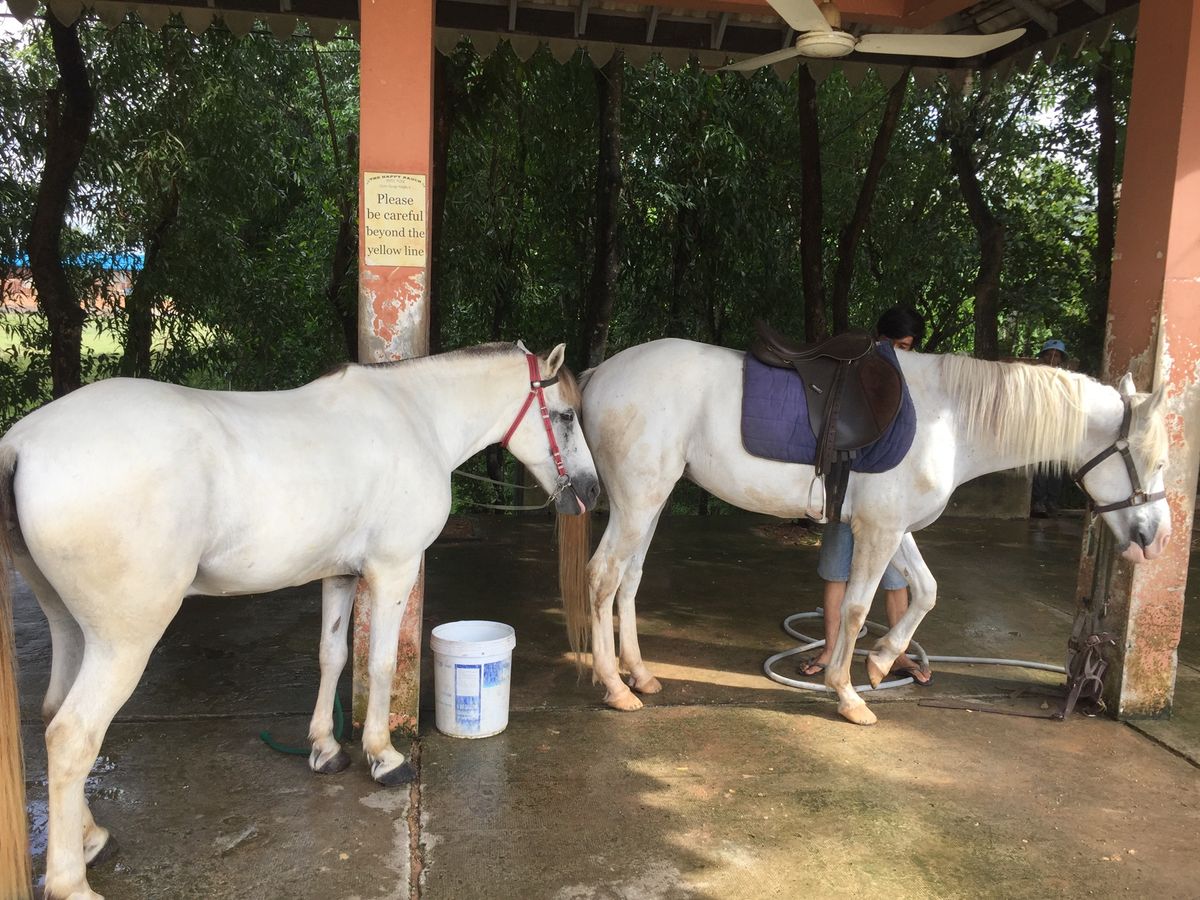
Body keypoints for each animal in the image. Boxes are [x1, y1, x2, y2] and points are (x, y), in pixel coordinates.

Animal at [0, 341, 600, 900]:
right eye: (566, 415)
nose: (592, 492)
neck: (415, 417)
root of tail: (22, 443)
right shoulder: (393, 569)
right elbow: (381, 664)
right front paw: (384, 757)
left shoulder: (339, 576)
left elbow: (333, 657)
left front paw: (326, 748)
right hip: (124, 641)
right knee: (72, 736)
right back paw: (71, 880)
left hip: (71, 627)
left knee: (54, 713)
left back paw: (90, 837)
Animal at [557, 338, 1170, 728]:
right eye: (1157, 460)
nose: (1156, 540)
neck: (950, 421)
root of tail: (601, 375)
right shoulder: (879, 531)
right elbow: (855, 607)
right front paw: (849, 692)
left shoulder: (894, 528)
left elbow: (924, 591)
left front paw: (880, 662)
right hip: (638, 501)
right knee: (603, 576)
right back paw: (615, 687)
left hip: (649, 503)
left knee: (629, 580)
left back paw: (640, 675)